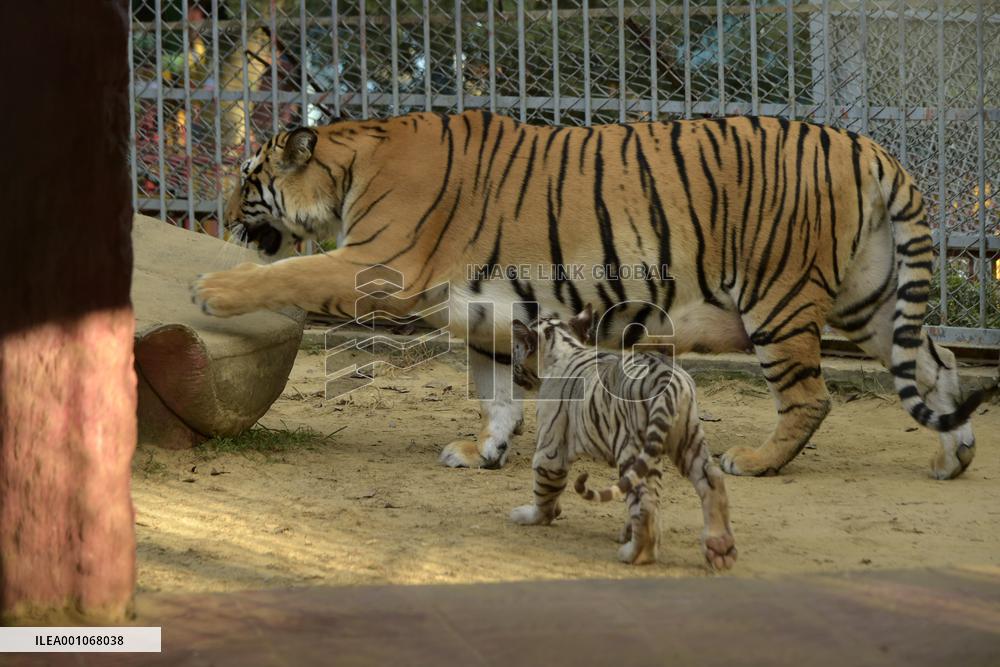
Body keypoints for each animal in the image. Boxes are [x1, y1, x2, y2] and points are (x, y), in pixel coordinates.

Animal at [192, 110, 990, 479]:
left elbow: (287, 273)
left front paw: (210, 288)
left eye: (247, 178)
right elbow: (496, 394)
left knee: (811, 397)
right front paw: (484, 450)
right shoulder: (482, 310)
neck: (352, 163)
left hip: (780, 295)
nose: (218, 215)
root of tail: (872, 148)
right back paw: (953, 455)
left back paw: (755, 460)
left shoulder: (376, 262)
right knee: (939, 363)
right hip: (871, 298)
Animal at [507, 305, 736, 568]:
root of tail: (666, 378)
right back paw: (719, 548)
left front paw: (532, 516)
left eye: (517, 348)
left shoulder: (551, 445)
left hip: (631, 446)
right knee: (711, 480)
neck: (563, 344)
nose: (512, 371)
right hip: (687, 437)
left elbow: (544, 488)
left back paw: (635, 554)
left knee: (644, 501)